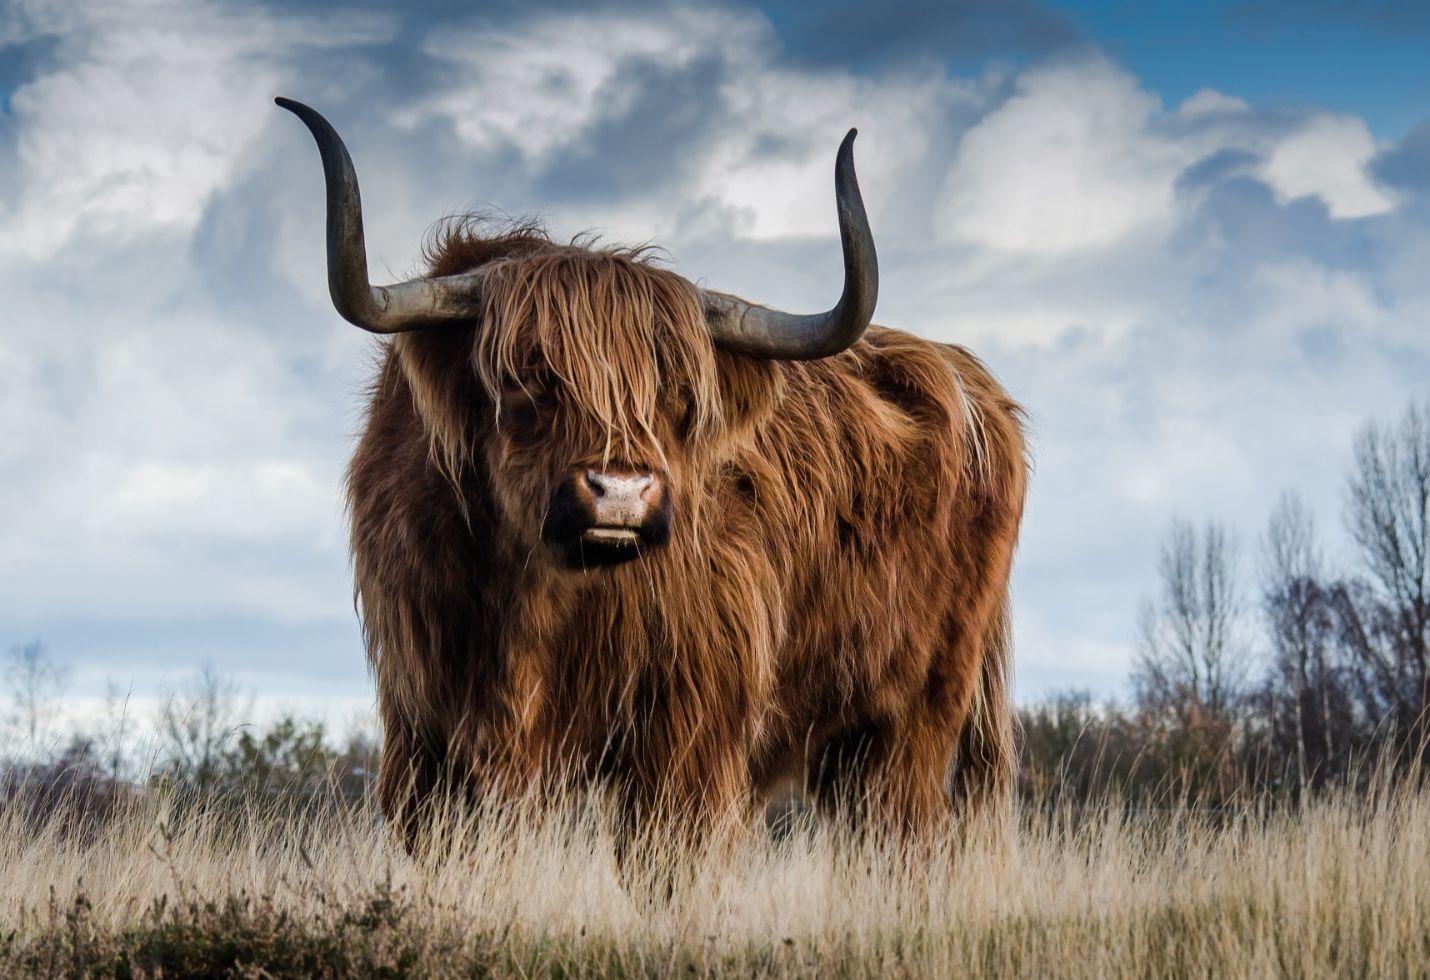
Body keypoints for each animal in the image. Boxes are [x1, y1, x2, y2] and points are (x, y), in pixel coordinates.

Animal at [277, 98, 1028, 849]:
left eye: (679, 395)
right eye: (527, 378)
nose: (621, 493)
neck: (530, 602)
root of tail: (969, 378)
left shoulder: (689, 733)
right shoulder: (425, 730)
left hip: (915, 716)